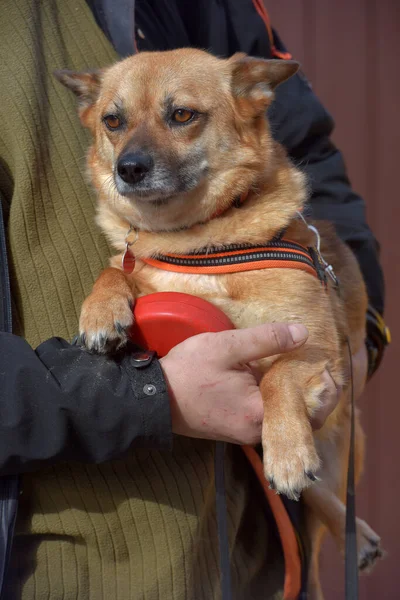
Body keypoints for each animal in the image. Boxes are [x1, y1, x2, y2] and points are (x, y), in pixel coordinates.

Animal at [54, 48, 382, 596]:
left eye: (183, 115)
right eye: (112, 121)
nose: (129, 168)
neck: (196, 245)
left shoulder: (318, 349)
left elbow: (276, 377)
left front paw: (288, 451)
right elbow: (115, 267)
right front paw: (102, 309)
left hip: (346, 443)